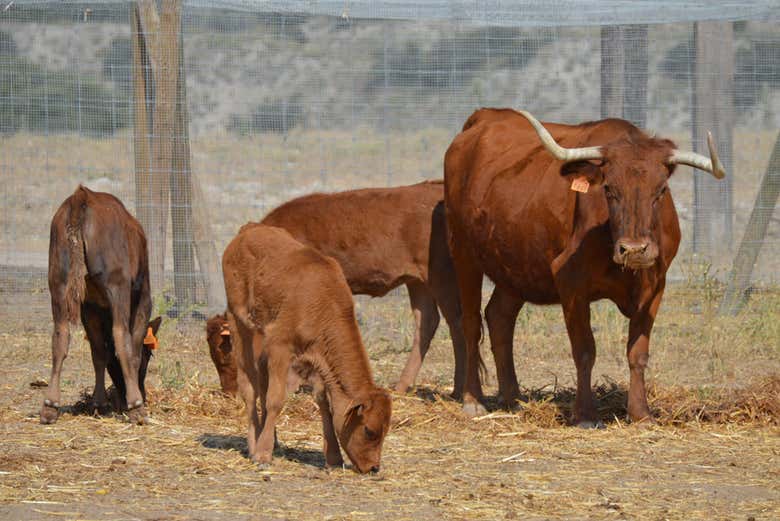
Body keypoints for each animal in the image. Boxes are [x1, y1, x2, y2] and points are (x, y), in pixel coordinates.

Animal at [42, 185, 160, 424]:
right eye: (149, 355)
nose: (142, 393)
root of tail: (81, 197)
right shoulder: (143, 298)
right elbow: (130, 348)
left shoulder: (89, 307)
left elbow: (98, 352)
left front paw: (98, 402)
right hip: (118, 285)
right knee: (121, 336)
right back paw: (137, 408)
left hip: (58, 282)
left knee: (60, 337)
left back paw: (50, 406)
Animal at [222, 223, 394, 472]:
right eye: (369, 430)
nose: (374, 467)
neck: (323, 300)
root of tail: (250, 228)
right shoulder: (280, 348)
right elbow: (275, 399)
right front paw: (263, 455)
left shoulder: (317, 360)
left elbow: (323, 402)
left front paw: (334, 457)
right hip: (240, 324)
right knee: (250, 387)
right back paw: (255, 444)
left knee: (261, 386)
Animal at [258, 181, 466, 396]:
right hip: (418, 281)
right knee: (426, 323)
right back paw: (400, 388)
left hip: (441, 277)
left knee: (456, 323)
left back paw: (458, 390)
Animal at [444, 108, 724, 422]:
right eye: (609, 189)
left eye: (661, 190)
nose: (634, 250)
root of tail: (484, 117)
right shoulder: (571, 282)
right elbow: (585, 350)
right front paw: (586, 414)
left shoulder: (656, 285)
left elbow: (637, 353)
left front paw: (641, 413)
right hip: (463, 252)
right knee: (470, 323)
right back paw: (473, 399)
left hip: (515, 264)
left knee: (499, 318)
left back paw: (513, 398)